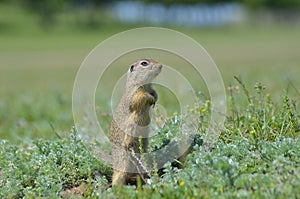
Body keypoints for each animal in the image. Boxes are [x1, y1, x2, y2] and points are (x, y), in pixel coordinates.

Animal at [109, 58, 163, 186]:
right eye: (144, 63)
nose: (161, 66)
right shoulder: (135, 92)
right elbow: (141, 97)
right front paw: (151, 98)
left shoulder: (150, 88)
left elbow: (154, 92)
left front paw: (155, 98)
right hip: (123, 160)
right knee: (118, 176)